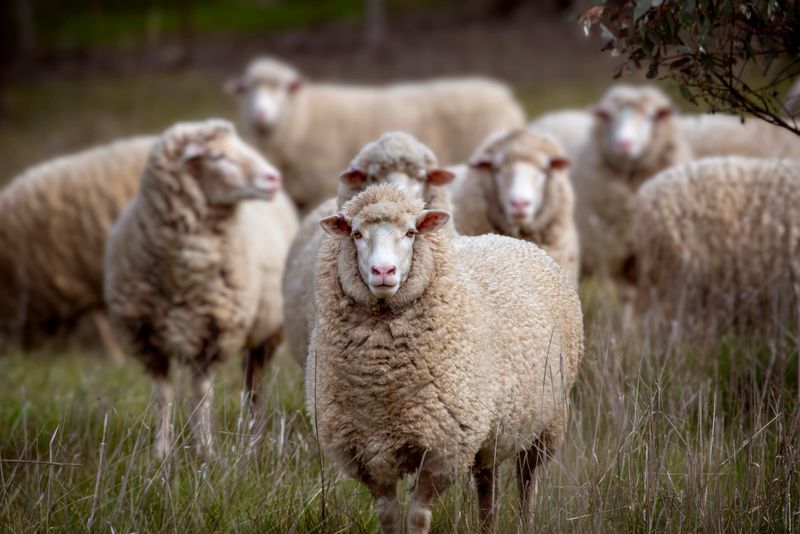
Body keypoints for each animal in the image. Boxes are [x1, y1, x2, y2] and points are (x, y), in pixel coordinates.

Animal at [104, 119, 298, 457]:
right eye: (218, 156)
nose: (274, 177)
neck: (183, 272)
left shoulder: (213, 334)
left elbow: (201, 396)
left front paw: (207, 451)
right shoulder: (146, 339)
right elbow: (163, 395)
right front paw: (162, 452)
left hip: (265, 333)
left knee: (255, 386)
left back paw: (255, 439)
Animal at [225, 56, 526, 210]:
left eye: (282, 89)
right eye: (247, 90)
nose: (260, 113)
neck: (303, 116)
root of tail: (505, 94)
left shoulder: (317, 188)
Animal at [307, 184, 583, 534]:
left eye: (410, 232)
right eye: (356, 234)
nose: (383, 271)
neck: (383, 383)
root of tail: (508, 239)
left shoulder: (444, 449)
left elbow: (417, 516)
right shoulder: (368, 452)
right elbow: (389, 517)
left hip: (547, 422)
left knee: (527, 481)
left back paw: (526, 523)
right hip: (489, 432)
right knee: (487, 484)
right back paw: (487, 526)